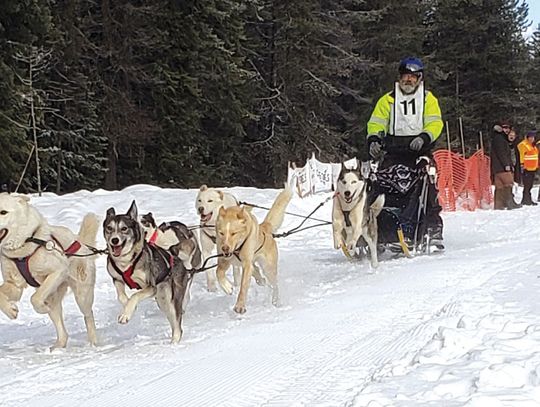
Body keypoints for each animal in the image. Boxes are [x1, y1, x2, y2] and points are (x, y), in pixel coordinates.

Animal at [0, 193, 100, 350]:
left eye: (3, 212)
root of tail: (80, 242)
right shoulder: (14, 284)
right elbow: (1, 295)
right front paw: (11, 311)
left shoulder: (58, 271)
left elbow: (34, 298)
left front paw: (42, 308)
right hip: (54, 297)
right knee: (63, 331)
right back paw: (58, 347)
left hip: (82, 295)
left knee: (88, 315)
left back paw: (93, 344)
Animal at [103, 202, 194, 342]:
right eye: (109, 228)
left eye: (124, 228)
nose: (114, 240)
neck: (126, 261)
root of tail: (174, 255)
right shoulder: (117, 279)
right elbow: (122, 297)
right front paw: (128, 308)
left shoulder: (151, 287)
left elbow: (135, 296)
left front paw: (126, 314)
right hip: (162, 301)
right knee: (173, 322)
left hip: (173, 299)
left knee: (178, 324)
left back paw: (175, 343)